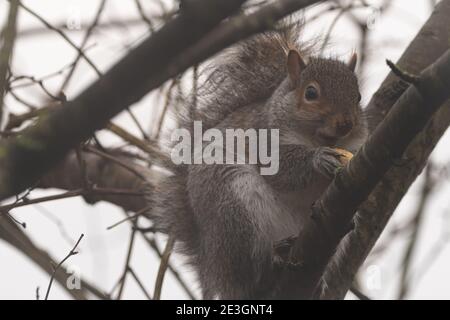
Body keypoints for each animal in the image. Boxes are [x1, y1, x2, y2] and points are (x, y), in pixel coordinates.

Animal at [146, 22, 368, 300]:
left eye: (358, 97)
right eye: (311, 93)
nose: (346, 123)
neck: (317, 138)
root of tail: (212, 265)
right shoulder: (264, 141)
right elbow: (283, 170)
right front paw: (319, 159)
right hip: (235, 210)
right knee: (251, 274)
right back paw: (271, 263)